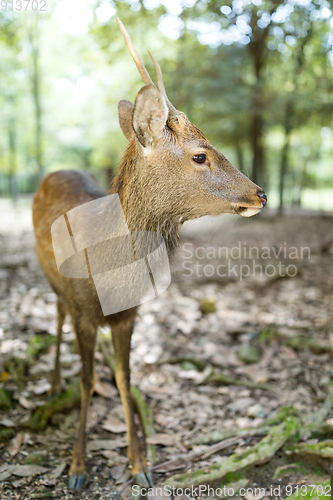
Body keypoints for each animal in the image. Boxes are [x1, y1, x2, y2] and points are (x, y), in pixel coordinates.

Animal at [32, 17, 266, 490]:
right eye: (200, 155)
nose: (260, 193)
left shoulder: (129, 315)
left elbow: (125, 379)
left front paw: (139, 462)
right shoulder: (85, 311)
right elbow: (87, 379)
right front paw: (77, 467)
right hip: (53, 281)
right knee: (57, 314)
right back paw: (53, 381)